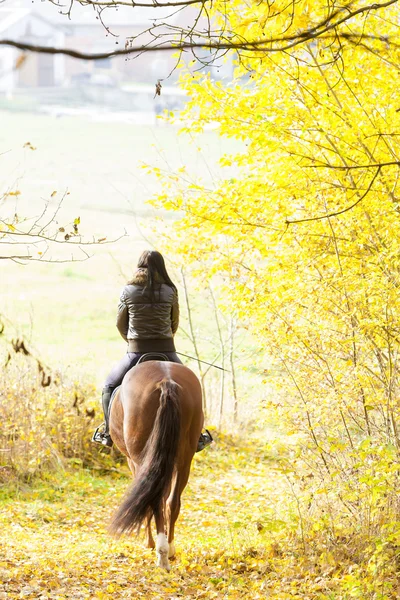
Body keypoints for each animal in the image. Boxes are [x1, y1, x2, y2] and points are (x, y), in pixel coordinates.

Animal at [108, 358, 205, 568]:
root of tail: (166, 382)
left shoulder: (133, 462)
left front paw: (149, 543)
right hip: (184, 460)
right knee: (171, 502)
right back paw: (170, 549)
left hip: (141, 459)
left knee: (155, 500)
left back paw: (160, 553)